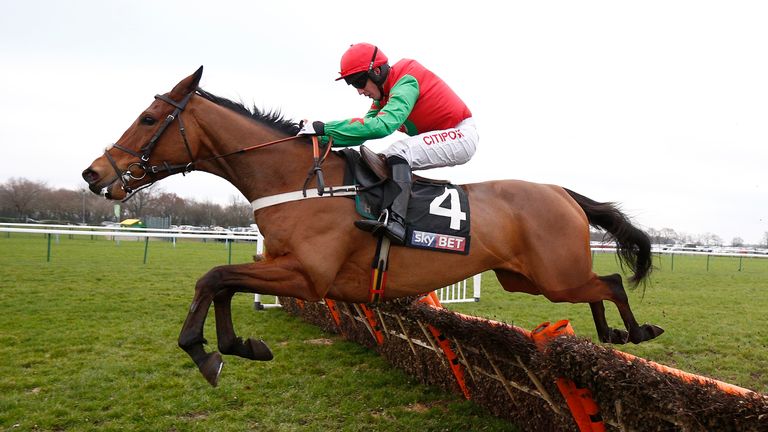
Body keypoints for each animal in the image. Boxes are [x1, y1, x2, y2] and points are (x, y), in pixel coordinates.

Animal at [81, 68, 664, 388]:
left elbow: (214, 277)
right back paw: (611, 335)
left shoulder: (309, 276)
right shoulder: (277, 264)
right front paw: (234, 345)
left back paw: (635, 331)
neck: (299, 179)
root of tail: (563, 192)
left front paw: (206, 352)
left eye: (149, 120)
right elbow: (220, 281)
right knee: (597, 289)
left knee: (610, 282)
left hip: (553, 276)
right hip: (528, 278)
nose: (94, 173)